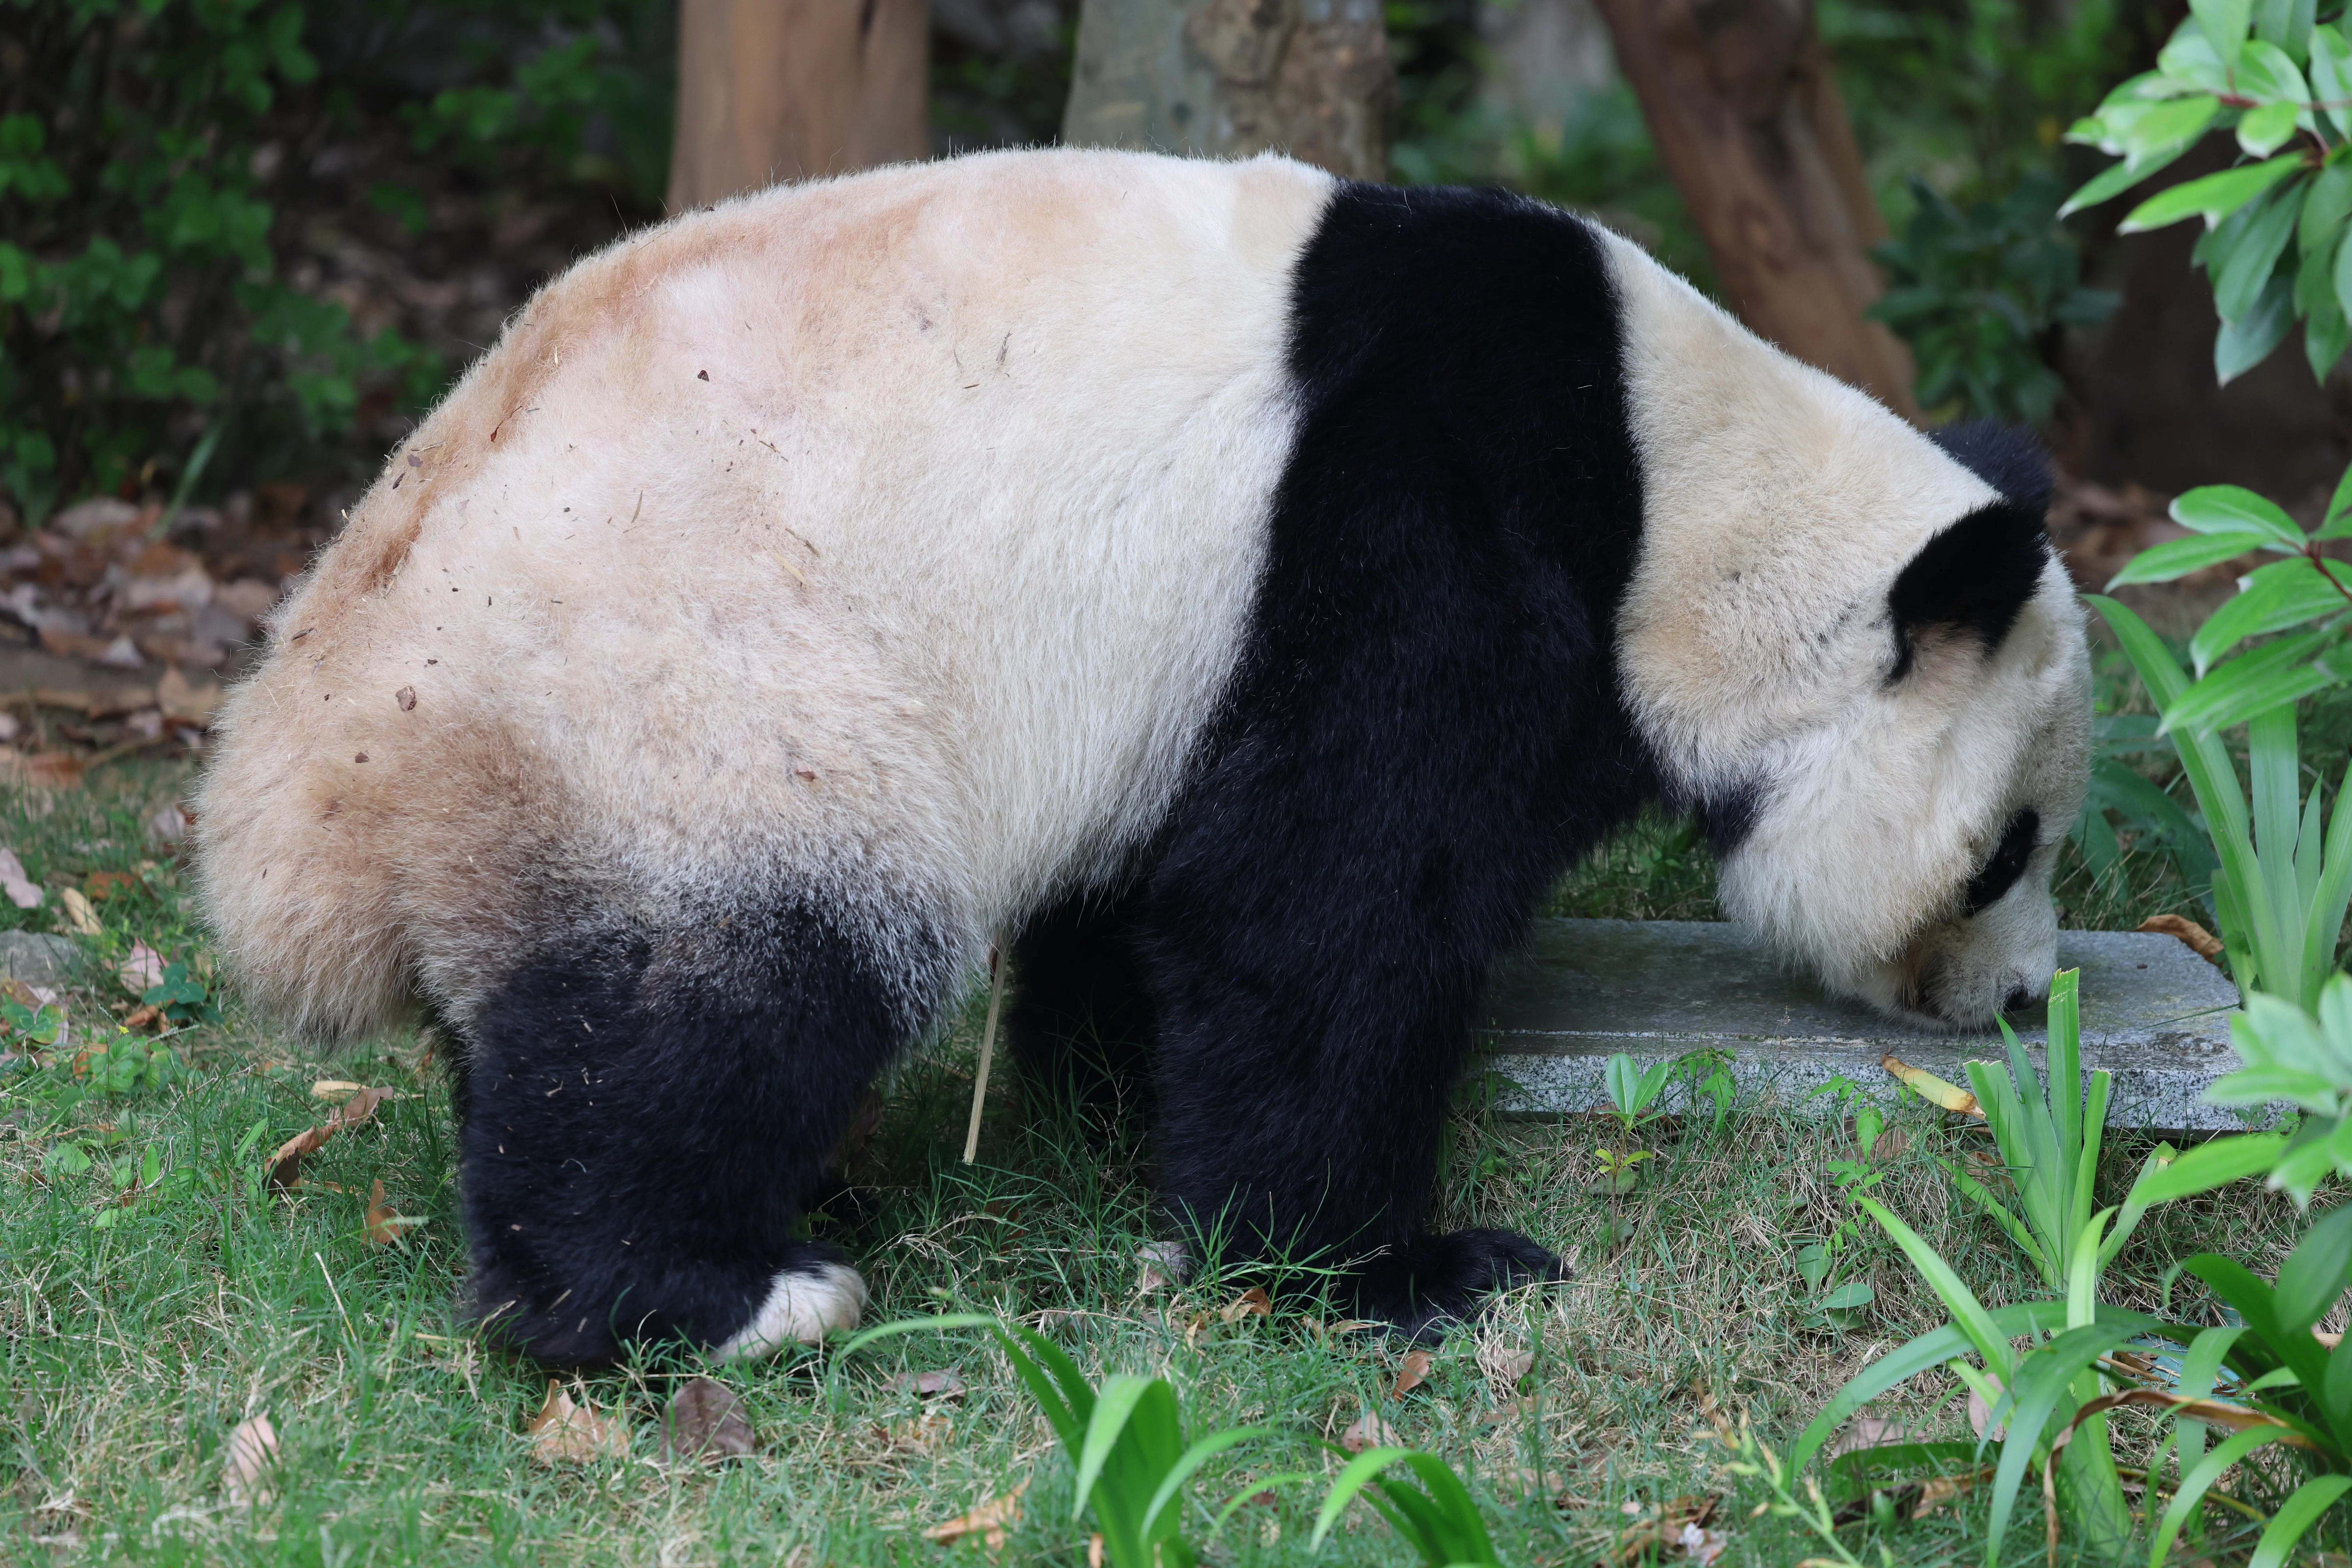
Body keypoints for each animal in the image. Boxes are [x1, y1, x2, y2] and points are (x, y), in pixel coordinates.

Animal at [193, 146, 2091, 1364]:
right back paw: (721, 1295)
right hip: (692, 707)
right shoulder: (1423, 519)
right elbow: (1322, 908)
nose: (2019, 1001)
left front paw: (1123, 1110)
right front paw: (1399, 1268)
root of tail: (300, 788)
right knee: (724, 989)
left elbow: (1167, 896)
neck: (1680, 495)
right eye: (2006, 847)